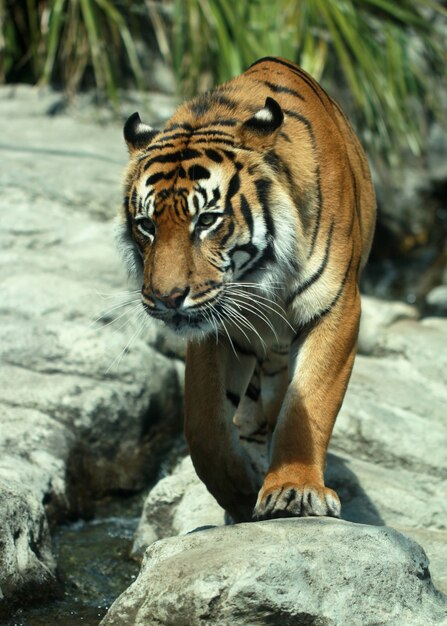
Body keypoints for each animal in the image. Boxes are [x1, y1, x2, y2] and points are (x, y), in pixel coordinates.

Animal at [117, 56, 376, 520]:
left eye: (206, 220)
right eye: (146, 225)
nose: (166, 299)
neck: (259, 279)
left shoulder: (337, 308)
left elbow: (307, 405)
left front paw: (293, 490)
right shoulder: (215, 327)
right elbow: (204, 427)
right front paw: (238, 494)